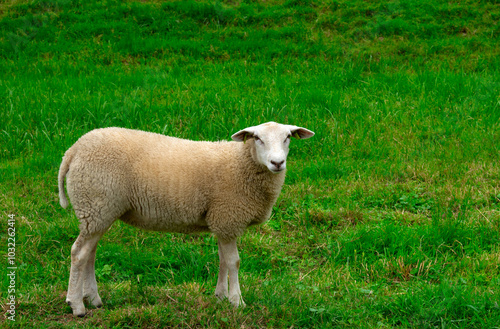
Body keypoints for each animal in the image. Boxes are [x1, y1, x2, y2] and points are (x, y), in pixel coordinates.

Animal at [58, 120, 314, 316]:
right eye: (258, 138)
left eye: (287, 137)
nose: (277, 162)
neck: (242, 163)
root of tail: (73, 151)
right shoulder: (228, 217)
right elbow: (234, 262)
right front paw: (237, 301)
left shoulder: (220, 222)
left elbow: (222, 260)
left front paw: (220, 296)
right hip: (96, 204)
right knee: (78, 253)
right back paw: (77, 305)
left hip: (97, 211)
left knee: (89, 253)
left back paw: (93, 298)